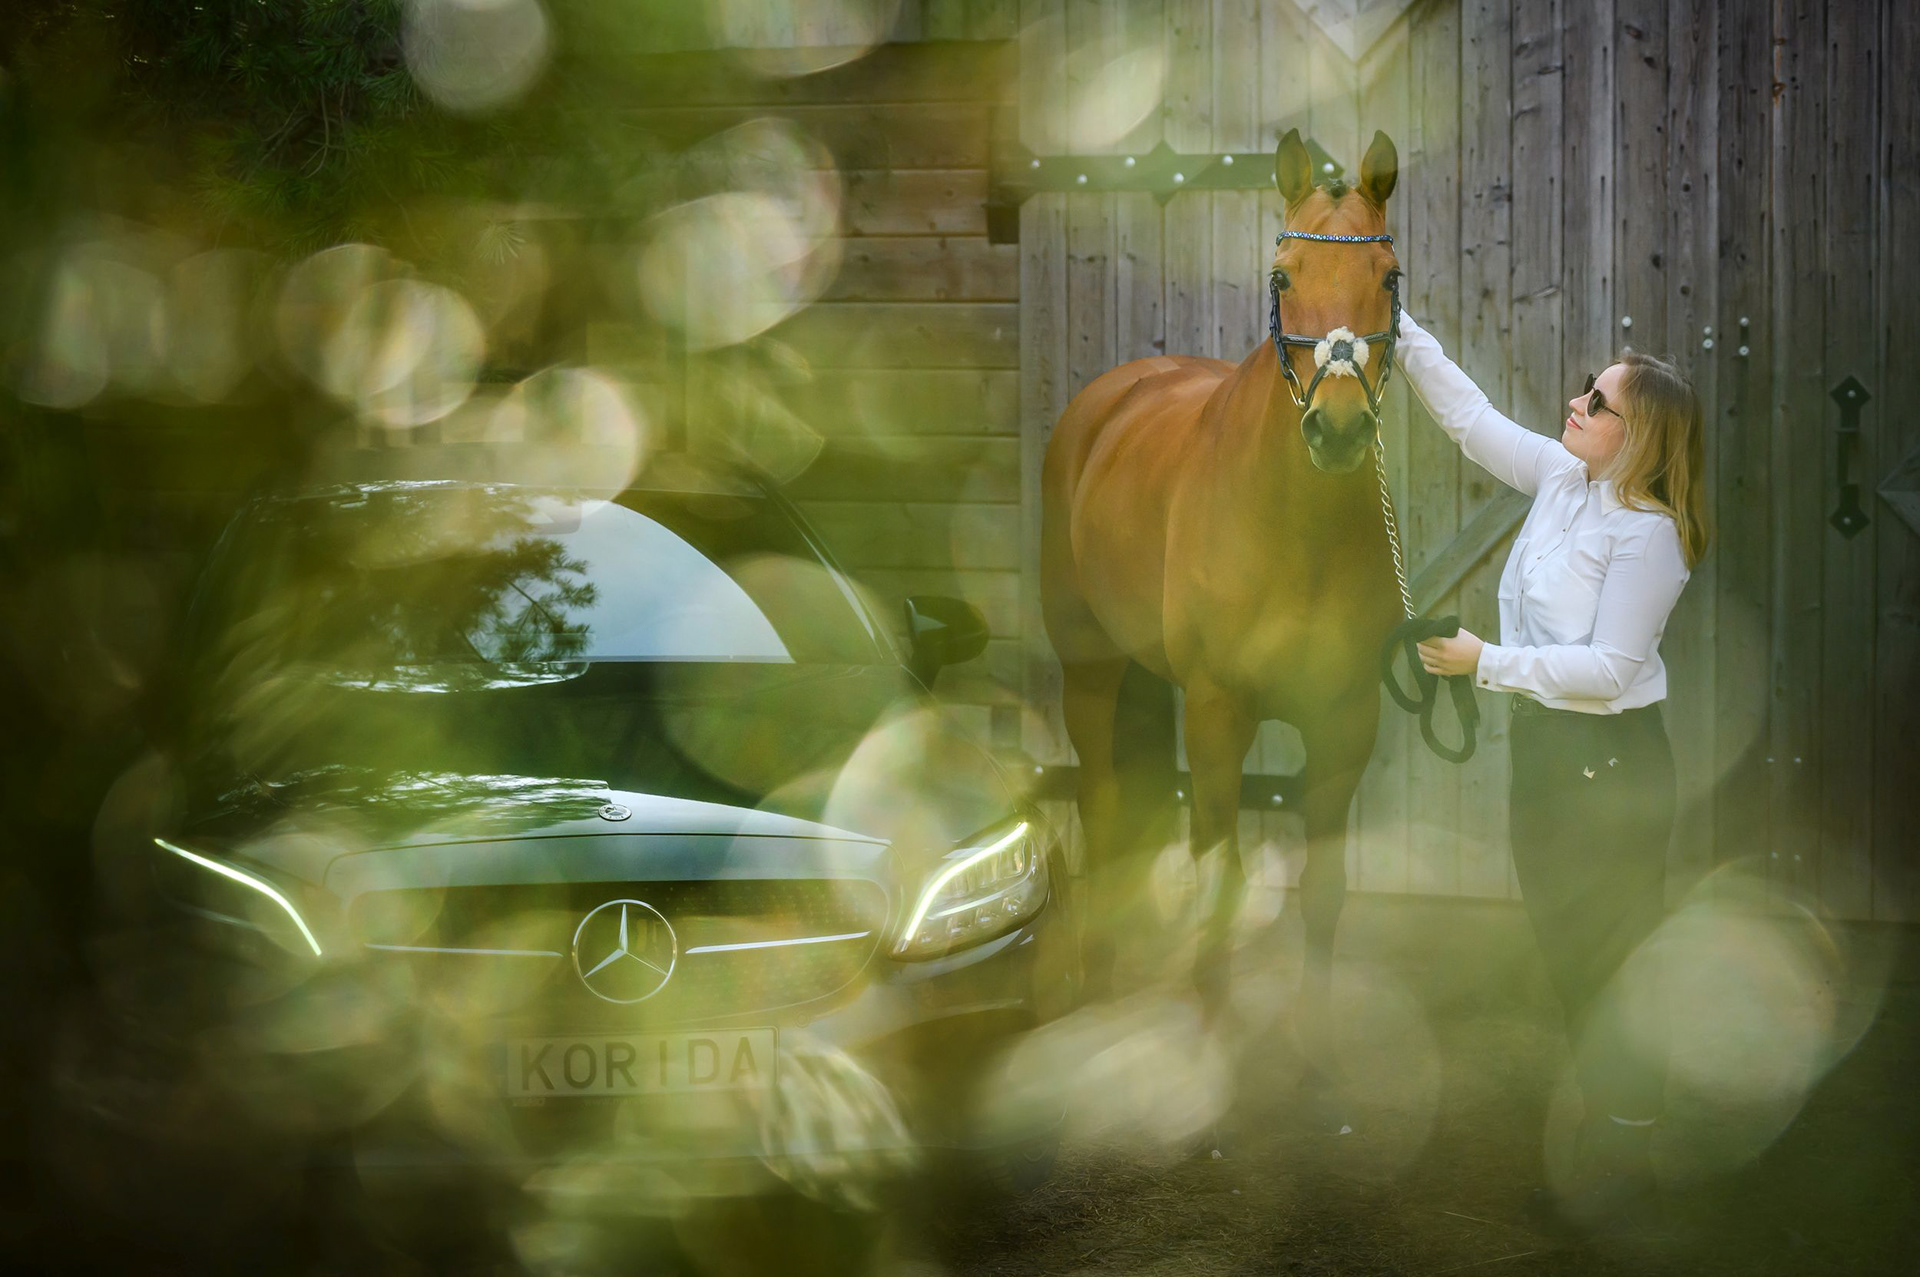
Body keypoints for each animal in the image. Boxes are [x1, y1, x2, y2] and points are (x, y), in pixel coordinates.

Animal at [1040, 128, 1404, 1092]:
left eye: (1388, 275)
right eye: (1282, 275)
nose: (1339, 430)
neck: (1297, 525)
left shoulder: (1345, 719)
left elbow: (1321, 886)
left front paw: (1313, 1043)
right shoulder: (1216, 709)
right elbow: (1225, 867)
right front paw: (1209, 1021)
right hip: (1089, 669)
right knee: (1102, 800)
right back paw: (1097, 971)